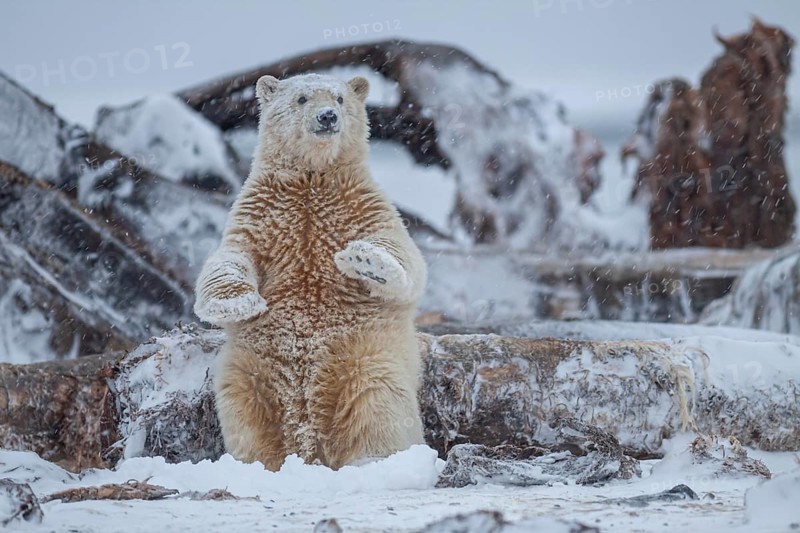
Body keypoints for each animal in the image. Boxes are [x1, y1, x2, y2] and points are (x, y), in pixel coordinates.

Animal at [193, 73, 428, 470]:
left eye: (339, 97)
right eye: (302, 98)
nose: (328, 117)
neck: (311, 180)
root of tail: (308, 437)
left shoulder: (361, 206)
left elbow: (403, 252)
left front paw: (367, 262)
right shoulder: (260, 214)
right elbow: (231, 257)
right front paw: (238, 303)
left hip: (367, 359)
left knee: (377, 407)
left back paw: (372, 462)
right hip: (249, 370)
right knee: (246, 413)